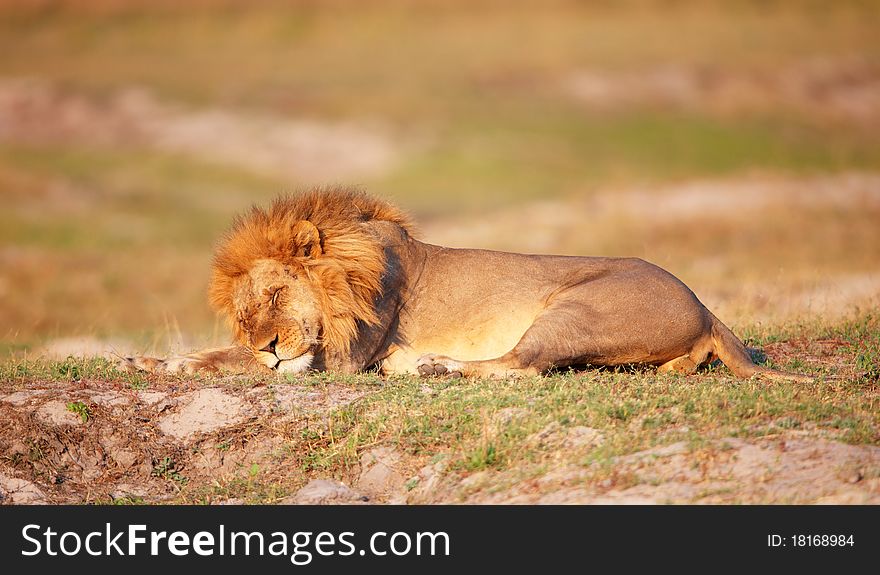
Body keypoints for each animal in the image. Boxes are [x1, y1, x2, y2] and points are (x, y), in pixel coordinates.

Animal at [124, 187, 812, 382]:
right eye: (244, 313)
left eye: (275, 296)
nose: (269, 344)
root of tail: (705, 305)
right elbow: (220, 353)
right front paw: (152, 359)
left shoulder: (345, 358)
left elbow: (239, 363)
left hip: (575, 309)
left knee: (521, 367)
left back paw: (433, 366)